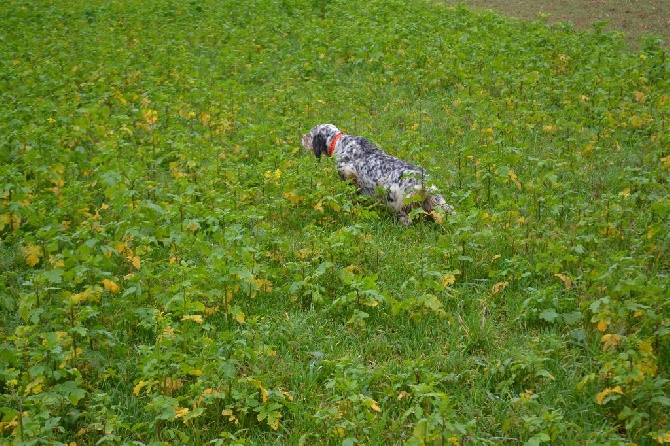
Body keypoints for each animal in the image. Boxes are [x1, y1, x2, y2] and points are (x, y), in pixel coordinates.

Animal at [304, 123, 456, 225]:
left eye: (310, 134)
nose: (302, 136)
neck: (339, 142)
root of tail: (423, 182)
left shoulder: (348, 174)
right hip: (437, 201)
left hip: (397, 200)